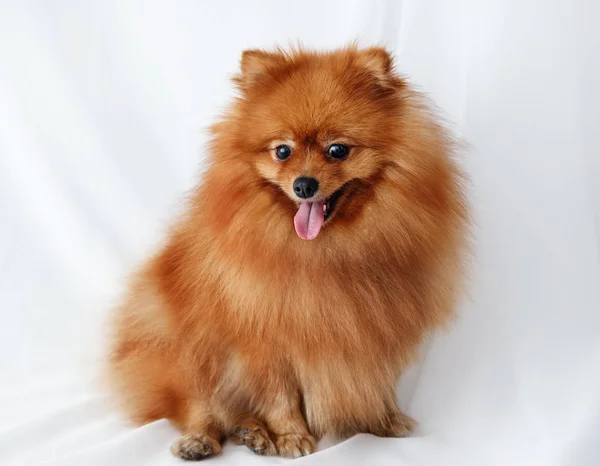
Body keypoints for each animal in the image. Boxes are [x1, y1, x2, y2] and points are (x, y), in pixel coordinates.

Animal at [106, 45, 468, 460]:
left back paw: (253, 433)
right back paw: (204, 439)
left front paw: (385, 420)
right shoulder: (265, 340)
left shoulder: (375, 326)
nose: (304, 184)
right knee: (203, 406)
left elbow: (378, 381)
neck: (324, 253)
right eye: (282, 151)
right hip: (186, 350)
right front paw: (292, 436)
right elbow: (279, 396)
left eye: (337, 150)